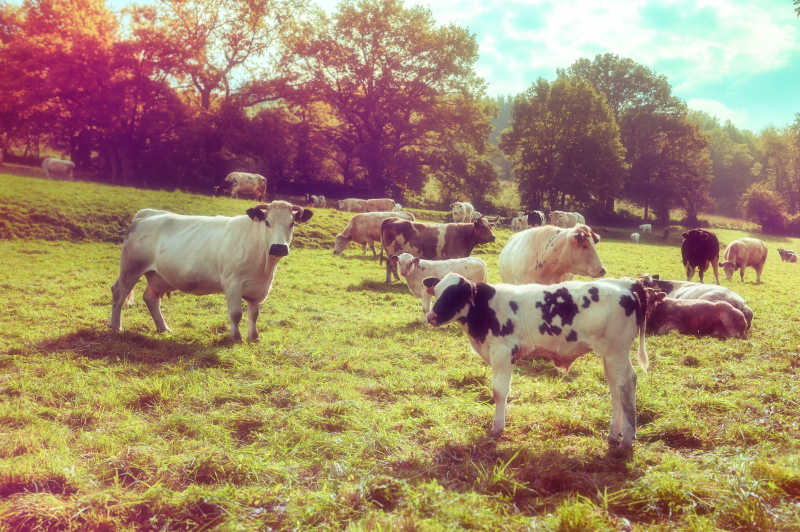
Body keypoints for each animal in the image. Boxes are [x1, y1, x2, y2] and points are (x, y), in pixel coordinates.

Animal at [108, 202, 312, 342]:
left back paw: (163, 328)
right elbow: (236, 313)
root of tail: (147, 214)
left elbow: (254, 314)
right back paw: (116, 327)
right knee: (119, 293)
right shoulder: (232, 283)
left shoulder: (259, 288)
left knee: (150, 298)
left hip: (158, 276)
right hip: (130, 268)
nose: (279, 247)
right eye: (267, 222)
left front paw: (254, 337)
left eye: (292, 223)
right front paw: (236, 338)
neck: (264, 266)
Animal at [424, 274, 664, 454]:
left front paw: (497, 428)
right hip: (610, 356)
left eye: (455, 294)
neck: (486, 309)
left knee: (627, 385)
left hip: (617, 352)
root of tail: (627, 285)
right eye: (437, 291)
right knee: (616, 389)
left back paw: (627, 440)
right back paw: (614, 434)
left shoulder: (502, 353)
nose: (431, 316)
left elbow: (499, 392)